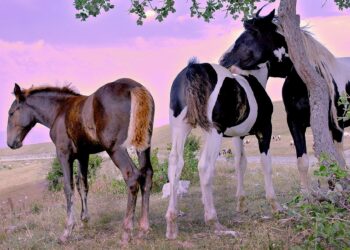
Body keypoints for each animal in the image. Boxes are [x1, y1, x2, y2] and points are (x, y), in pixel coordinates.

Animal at [165, 59, 284, 240]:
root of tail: (195, 68)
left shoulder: (237, 136)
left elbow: (240, 163)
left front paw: (241, 205)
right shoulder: (264, 130)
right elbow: (266, 164)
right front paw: (275, 206)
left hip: (181, 127)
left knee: (175, 163)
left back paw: (172, 224)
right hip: (215, 131)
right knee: (205, 166)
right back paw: (213, 221)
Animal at [220, 8, 350, 193]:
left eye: (246, 38)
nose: (223, 61)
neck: (306, 82)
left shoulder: (337, 126)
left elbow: (338, 161)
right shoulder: (295, 123)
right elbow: (304, 161)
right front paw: (307, 195)